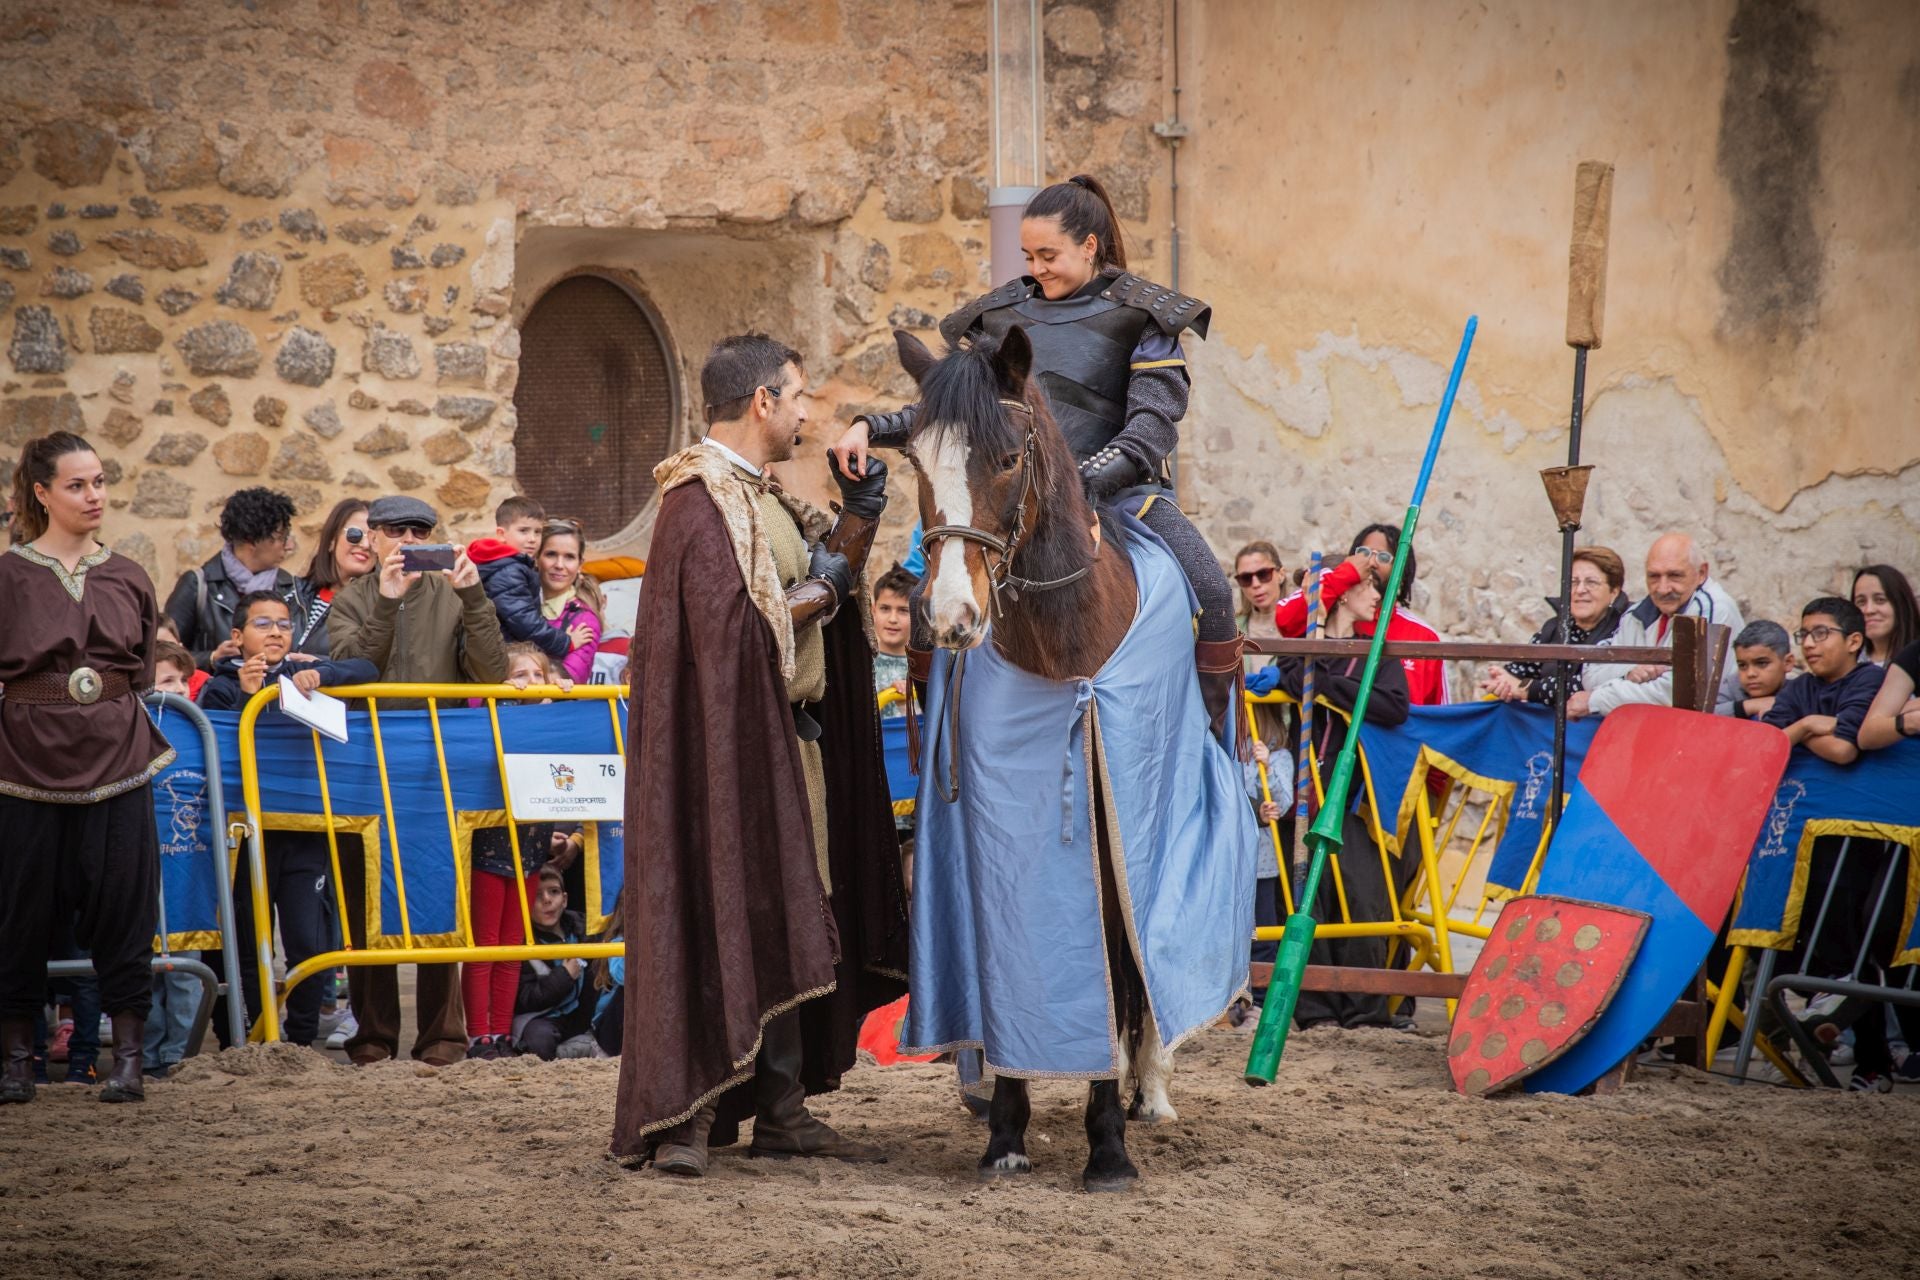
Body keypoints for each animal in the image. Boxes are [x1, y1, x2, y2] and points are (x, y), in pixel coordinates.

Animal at [890, 328, 1175, 1189]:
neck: (1064, 654)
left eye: (1009, 457)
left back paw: (1149, 1086)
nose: (952, 616)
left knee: (1143, 970)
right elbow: (999, 957)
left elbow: (1115, 956)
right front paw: (1007, 1129)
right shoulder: (996, 832)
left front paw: (1108, 1141)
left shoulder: (1112, 833)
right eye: (915, 459)